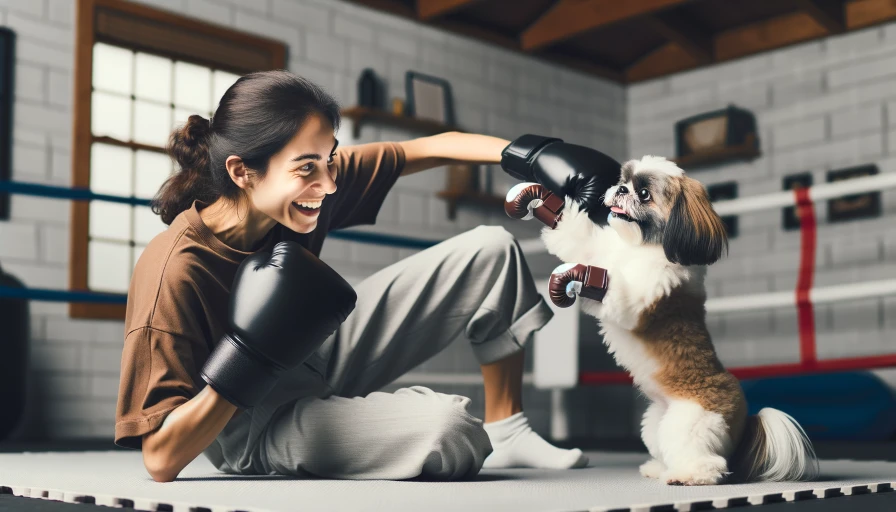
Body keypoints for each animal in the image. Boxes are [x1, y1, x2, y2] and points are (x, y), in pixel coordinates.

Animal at [540, 157, 820, 488]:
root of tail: (743, 419)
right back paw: (659, 468)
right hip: (655, 423)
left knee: (706, 459)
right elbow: (581, 241)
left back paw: (689, 475)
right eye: (623, 181)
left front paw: (582, 280)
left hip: (690, 422)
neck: (644, 247)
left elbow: (619, 296)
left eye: (644, 194)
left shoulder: (641, 297)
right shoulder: (602, 251)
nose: (620, 190)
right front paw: (549, 208)